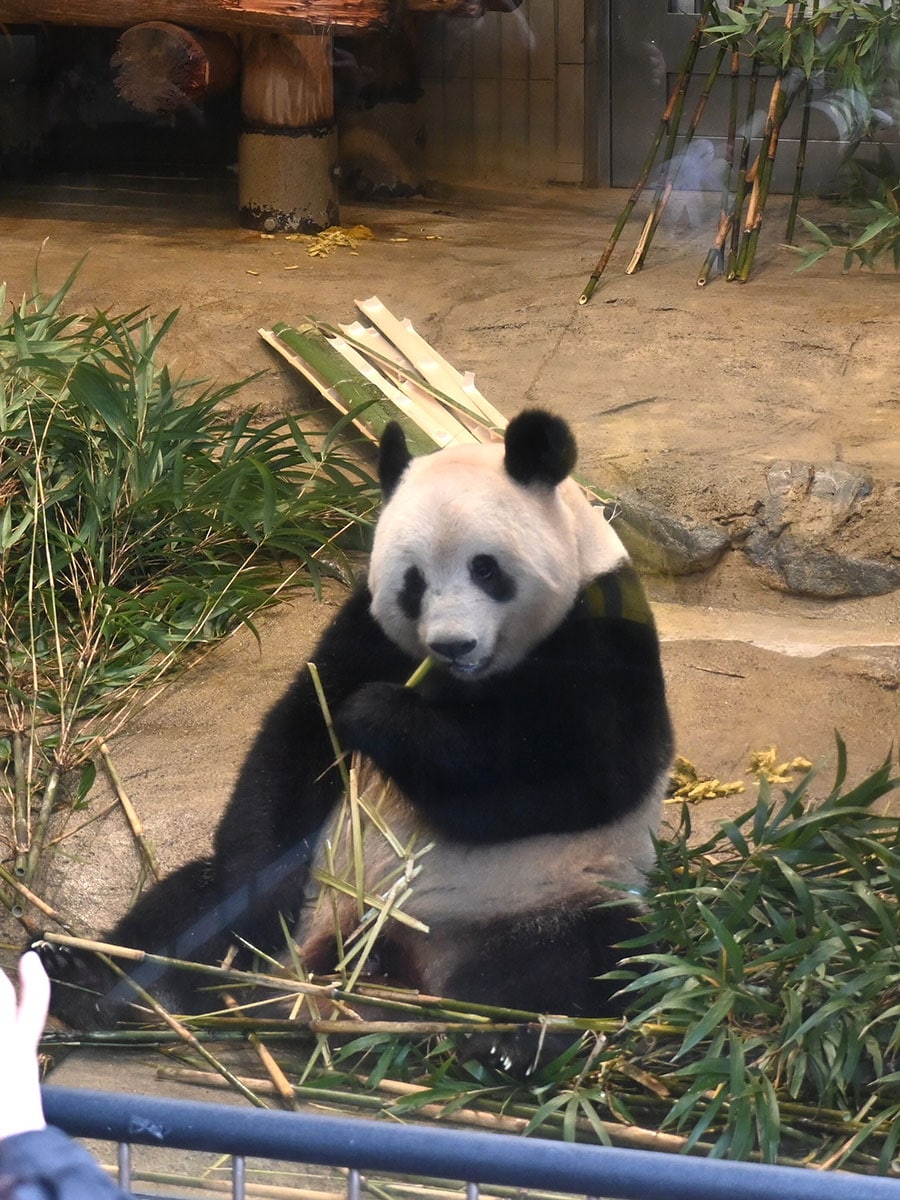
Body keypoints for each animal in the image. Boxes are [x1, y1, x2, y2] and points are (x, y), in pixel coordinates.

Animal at [37, 412, 672, 1070]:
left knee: (586, 957)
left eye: (486, 568)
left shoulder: (602, 629)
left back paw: (508, 1039)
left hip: (547, 893)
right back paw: (100, 984)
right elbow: (299, 734)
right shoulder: (366, 627)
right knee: (194, 908)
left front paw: (384, 716)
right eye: (413, 582)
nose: (452, 644)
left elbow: (583, 778)